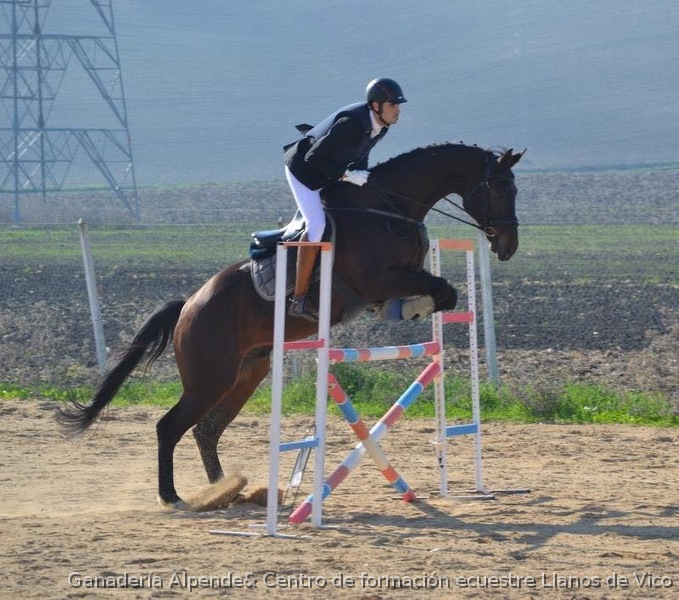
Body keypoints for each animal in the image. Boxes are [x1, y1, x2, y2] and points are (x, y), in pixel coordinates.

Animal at [57, 143, 524, 510]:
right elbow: (439, 288)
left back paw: (225, 491)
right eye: (501, 188)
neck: (389, 208)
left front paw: (408, 309)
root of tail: (188, 305)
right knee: (169, 427)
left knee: (206, 431)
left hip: (247, 373)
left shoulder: (398, 277)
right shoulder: (376, 280)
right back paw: (175, 497)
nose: (507, 247)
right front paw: (411, 307)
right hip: (209, 378)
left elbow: (445, 293)